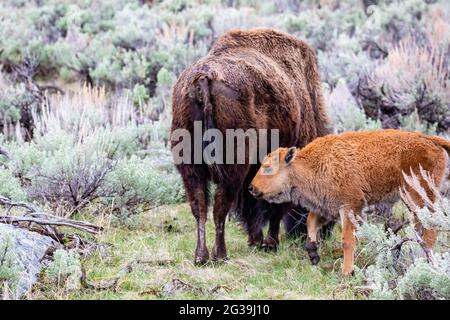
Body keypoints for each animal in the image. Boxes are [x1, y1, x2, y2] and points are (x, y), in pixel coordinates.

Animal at [171, 27, 332, 264]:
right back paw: (221, 255)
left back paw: (201, 256)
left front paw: (257, 241)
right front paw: (269, 243)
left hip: (190, 168)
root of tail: (204, 79)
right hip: (231, 166)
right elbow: (271, 208)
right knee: (220, 206)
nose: (325, 234)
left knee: (199, 205)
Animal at [250, 130, 450, 276]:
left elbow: (347, 241)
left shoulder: (349, 208)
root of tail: (430, 140)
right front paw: (313, 254)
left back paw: (425, 260)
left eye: (268, 167)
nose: (251, 188)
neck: (312, 164)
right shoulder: (328, 207)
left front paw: (346, 273)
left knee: (431, 226)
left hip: (417, 196)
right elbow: (311, 222)